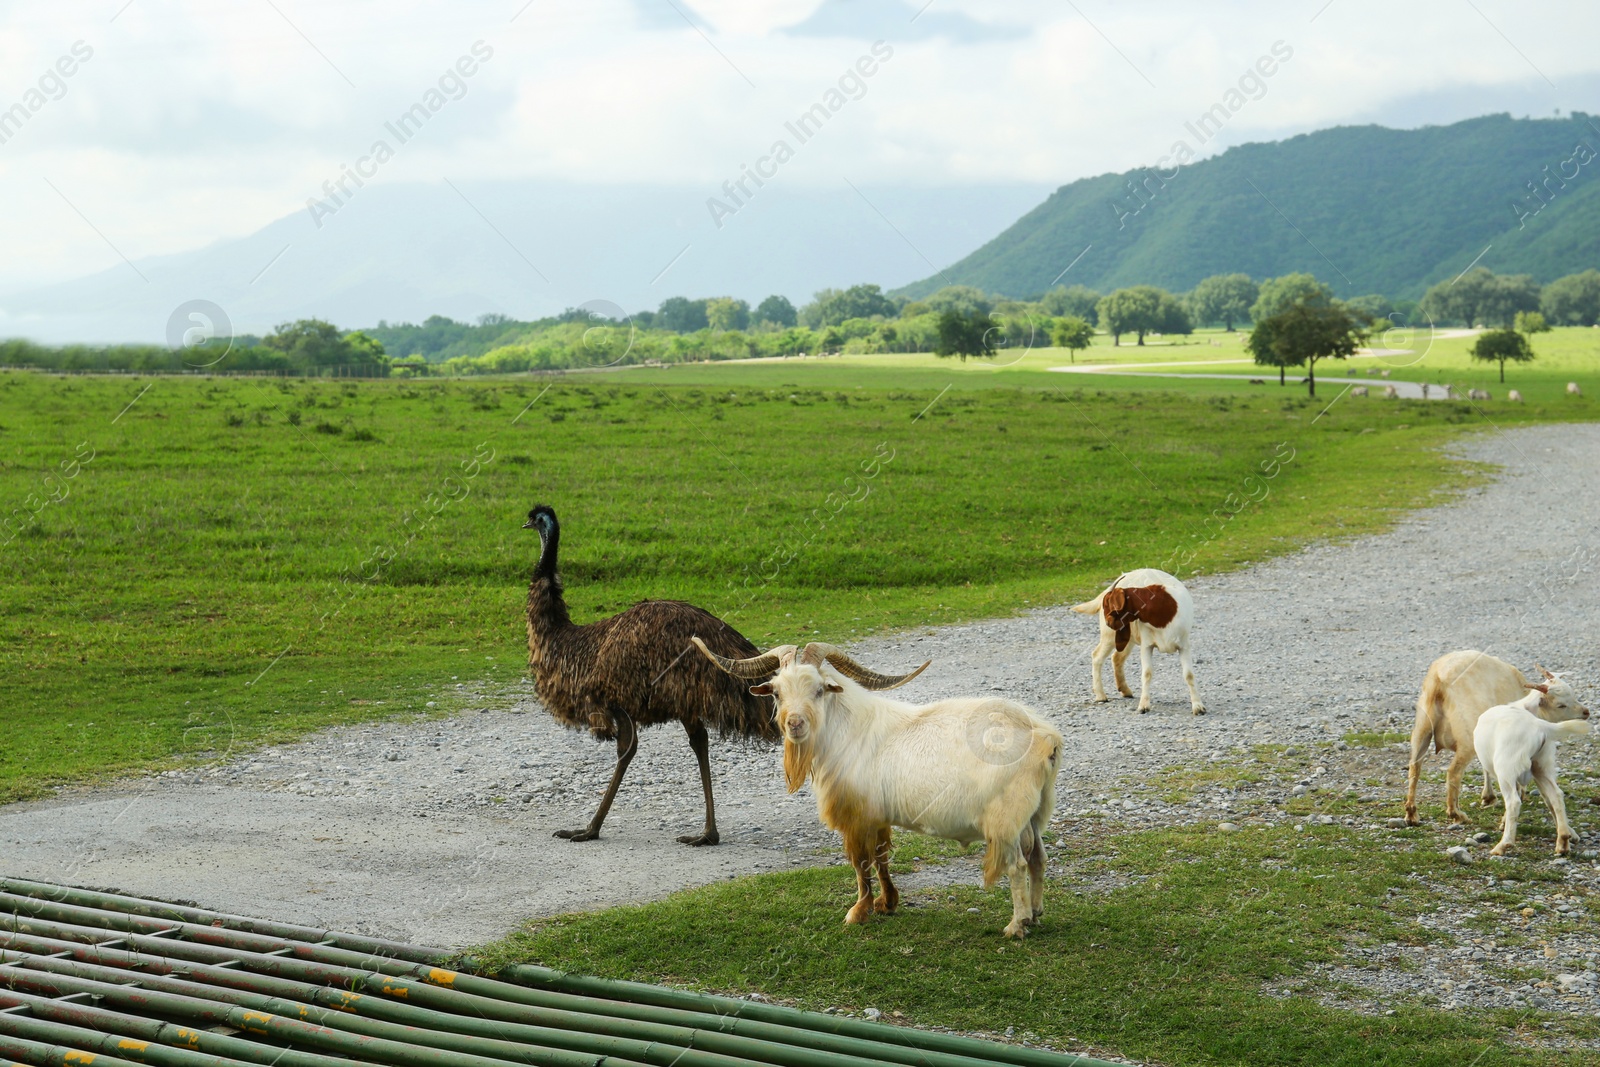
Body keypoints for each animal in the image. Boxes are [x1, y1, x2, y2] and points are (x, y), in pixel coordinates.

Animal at [691, 639, 1056, 940]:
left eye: (819, 690)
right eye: (777, 692)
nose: (795, 724)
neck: (848, 729)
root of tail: (1045, 737)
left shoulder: (857, 815)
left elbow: (860, 862)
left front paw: (857, 912)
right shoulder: (877, 814)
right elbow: (881, 857)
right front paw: (887, 902)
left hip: (1006, 820)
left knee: (1017, 865)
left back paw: (1016, 925)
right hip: (1034, 814)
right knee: (1037, 857)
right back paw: (1037, 914)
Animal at [1075, 566, 1203, 716]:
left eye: (1108, 603)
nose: (1107, 622)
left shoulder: (1184, 645)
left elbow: (1189, 675)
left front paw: (1198, 706)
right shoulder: (1147, 645)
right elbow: (1147, 673)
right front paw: (1143, 706)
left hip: (1125, 636)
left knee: (1117, 658)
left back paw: (1125, 690)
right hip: (1110, 636)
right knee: (1097, 656)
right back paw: (1101, 695)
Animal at [1401, 652, 1587, 825]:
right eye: (1560, 705)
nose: (1586, 712)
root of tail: (1439, 679)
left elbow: (1486, 766)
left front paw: (1488, 796)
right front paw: (1514, 793)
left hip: (1422, 728)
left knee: (1414, 767)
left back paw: (1411, 814)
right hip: (1467, 737)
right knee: (1453, 773)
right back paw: (1456, 814)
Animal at [1472, 694, 1587, 857]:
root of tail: (1539, 726)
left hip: (1506, 769)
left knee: (1513, 801)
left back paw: (1503, 845)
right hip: (1541, 766)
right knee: (1556, 795)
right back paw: (1563, 841)